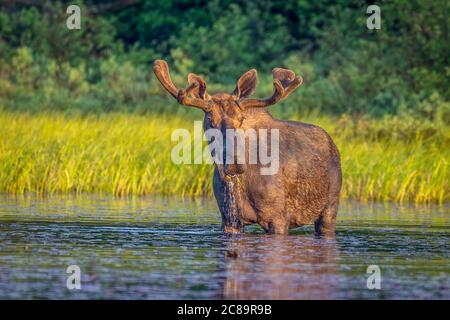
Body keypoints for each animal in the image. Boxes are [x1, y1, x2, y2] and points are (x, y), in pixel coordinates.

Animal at [155, 59, 342, 235]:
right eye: (210, 119)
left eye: (241, 118)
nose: (234, 163)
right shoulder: (229, 218)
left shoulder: (279, 217)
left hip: (330, 207)